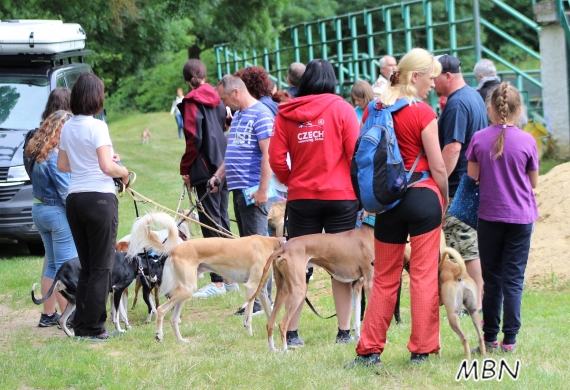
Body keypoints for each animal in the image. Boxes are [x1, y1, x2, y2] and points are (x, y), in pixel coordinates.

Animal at [31, 251, 164, 336]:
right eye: (161, 270)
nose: (158, 282)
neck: (135, 262)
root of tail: (60, 272)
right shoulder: (118, 289)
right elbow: (116, 316)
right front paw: (120, 330)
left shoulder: (115, 293)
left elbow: (122, 313)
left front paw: (127, 326)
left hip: (72, 301)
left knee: (62, 320)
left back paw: (72, 335)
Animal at [127, 212, 282, 342]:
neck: (271, 244)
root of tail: (175, 248)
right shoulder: (251, 286)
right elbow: (248, 316)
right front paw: (249, 333)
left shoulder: (261, 290)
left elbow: (270, 312)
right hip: (186, 289)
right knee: (161, 310)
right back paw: (159, 335)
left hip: (185, 290)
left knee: (173, 319)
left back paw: (181, 341)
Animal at [251, 224, 374, 352]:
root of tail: (284, 247)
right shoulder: (369, 283)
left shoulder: (357, 286)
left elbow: (357, 320)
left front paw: (358, 340)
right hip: (299, 290)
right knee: (282, 324)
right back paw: (286, 350)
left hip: (283, 290)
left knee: (270, 323)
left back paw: (273, 349)